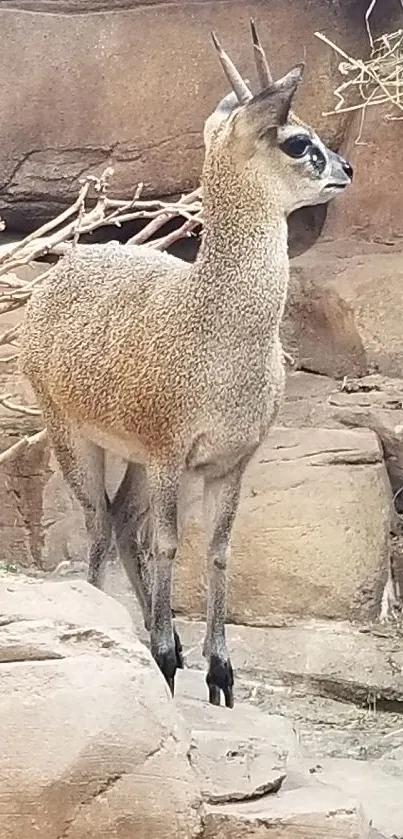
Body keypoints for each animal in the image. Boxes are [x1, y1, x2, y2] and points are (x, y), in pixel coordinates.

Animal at [19, 24, 354, 708]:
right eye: (297, 141)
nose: (347, 169)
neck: (215, 322)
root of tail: (59, 273)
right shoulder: (172, 454)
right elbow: (170, 543)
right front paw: (167, 658)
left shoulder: (231, 460)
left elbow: (220, 551)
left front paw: (219, 669)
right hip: (73, 438)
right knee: (100, 526)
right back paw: (121, 629)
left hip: (137, 461)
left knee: (122, 521)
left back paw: (154, 632)